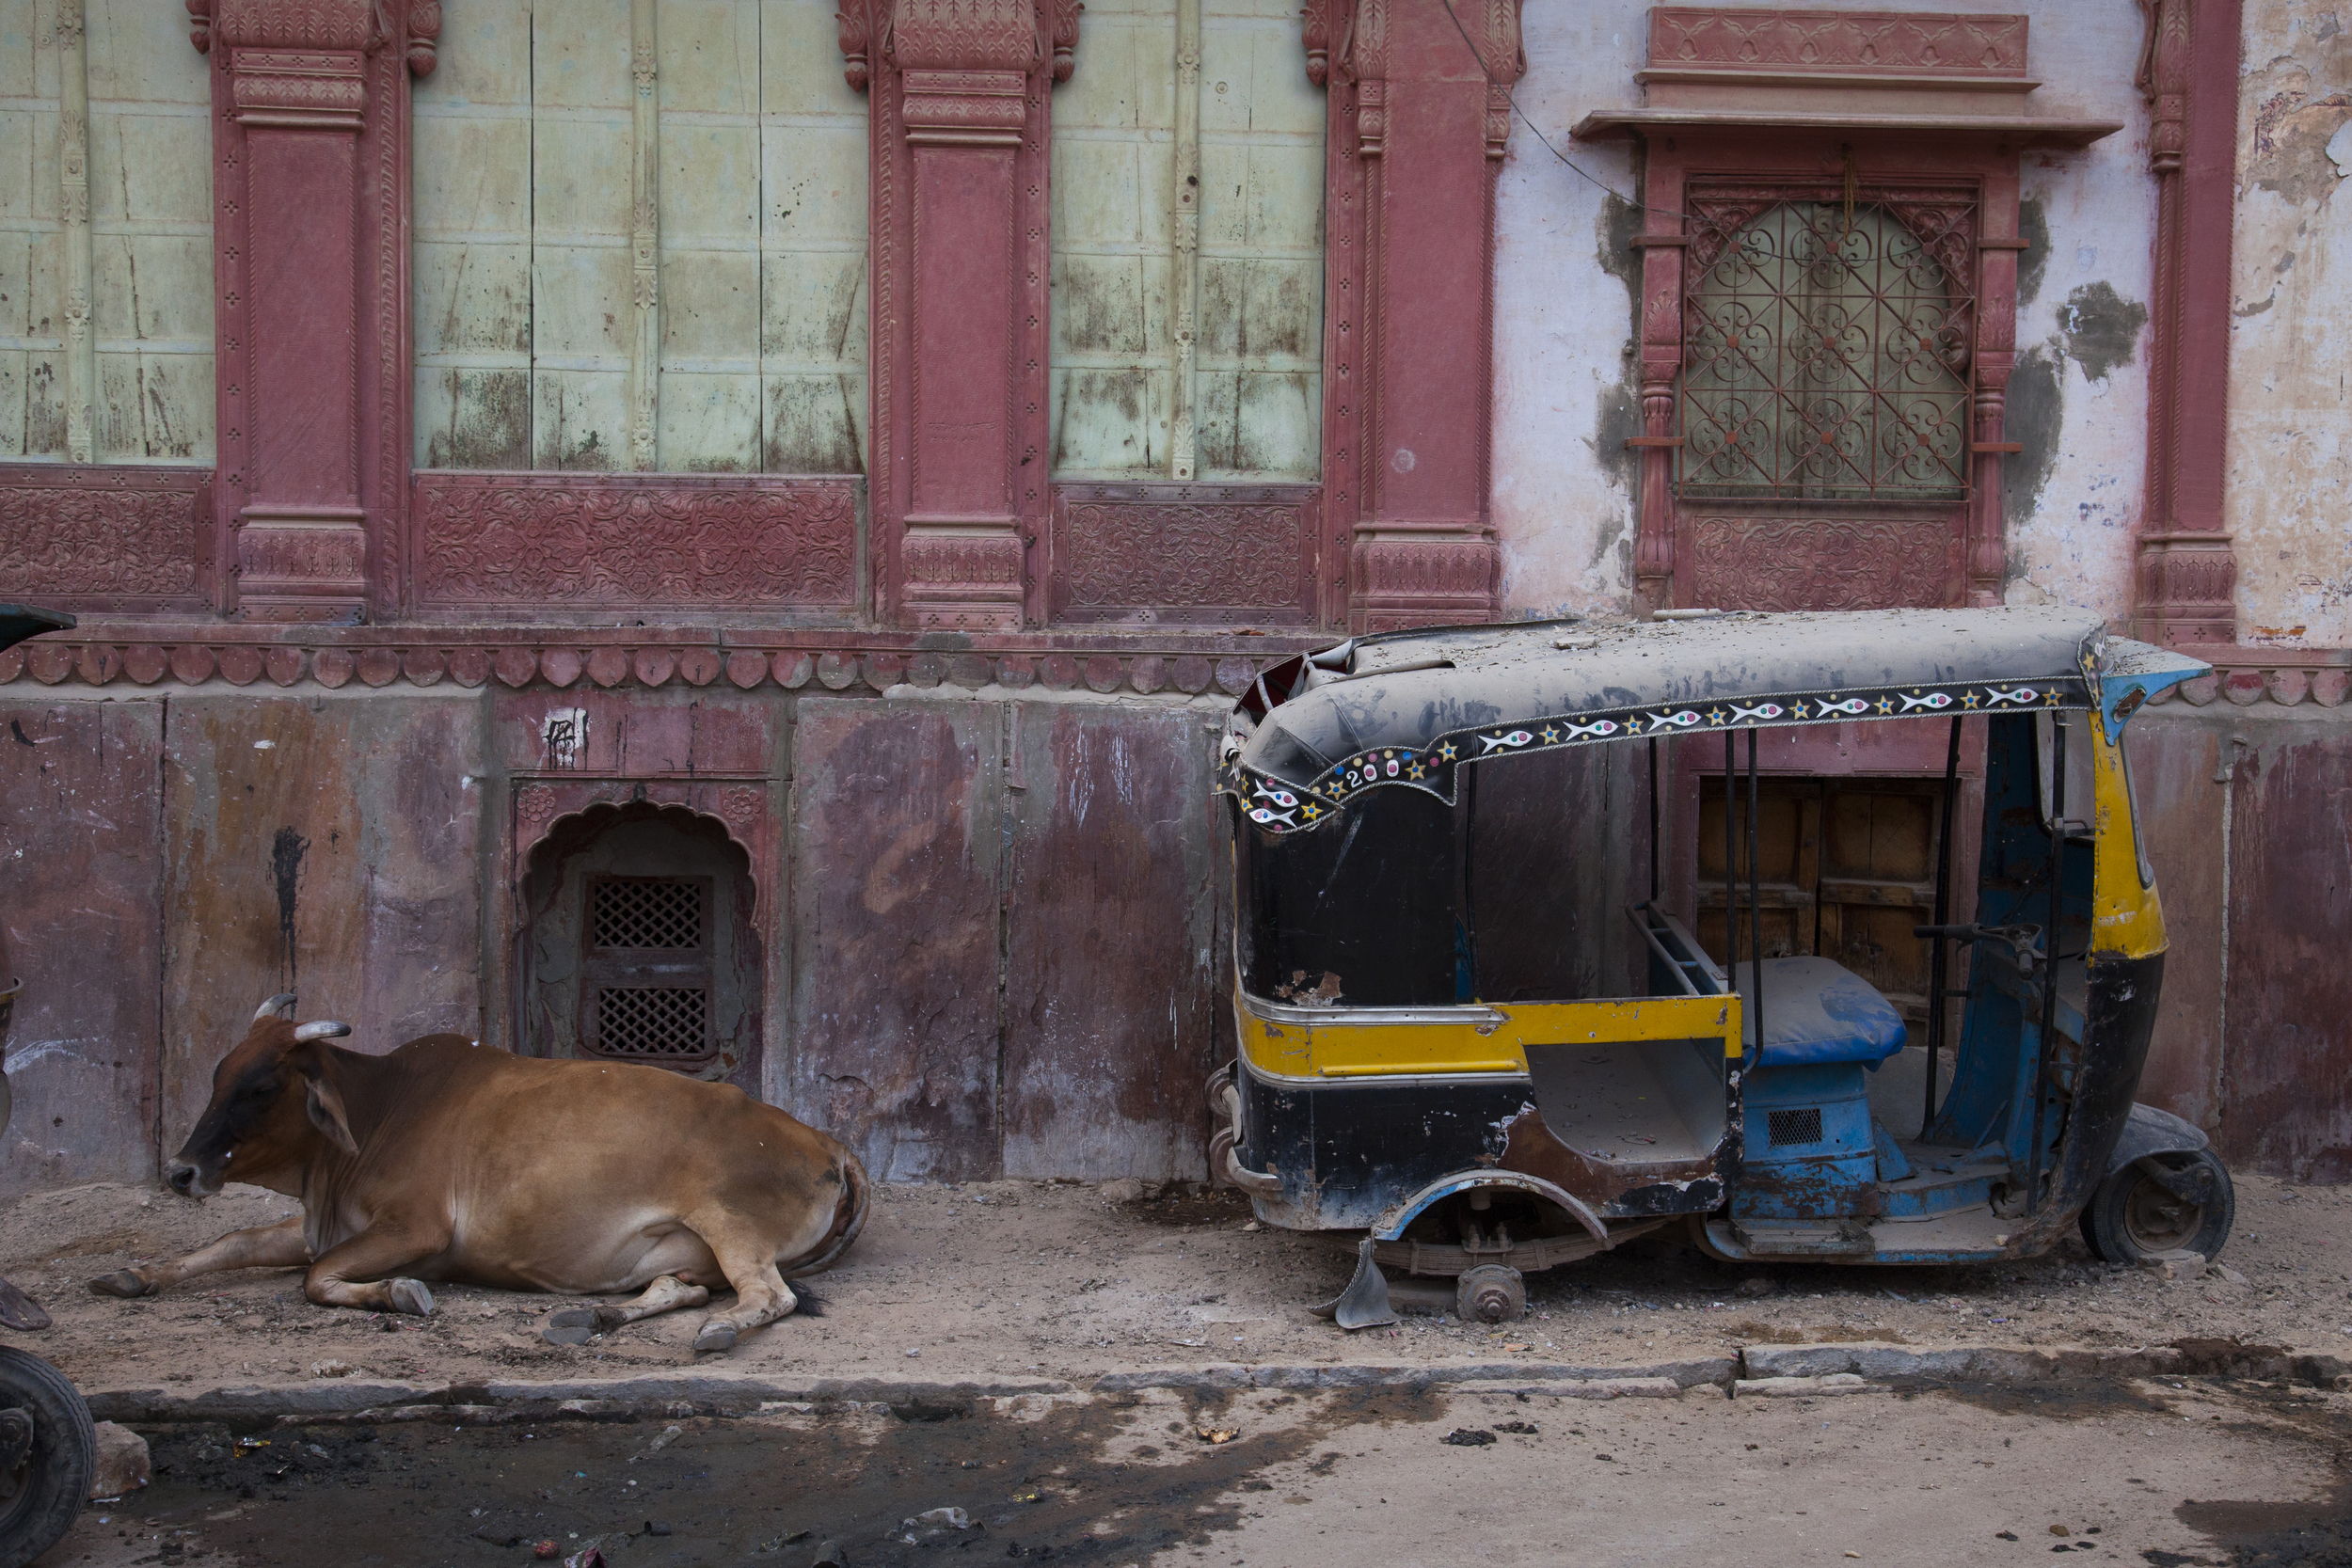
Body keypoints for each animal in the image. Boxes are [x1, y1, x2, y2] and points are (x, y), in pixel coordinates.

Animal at [89, 991, 875, 1354]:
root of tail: (826, 1139)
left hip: (731, 1226)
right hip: (688, 1250)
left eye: (260, 1087)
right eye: (218, 1074)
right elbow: (234, 1243)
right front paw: (134, 1274)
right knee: (675, 1287)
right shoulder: (320, 1223)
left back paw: (713, 1331)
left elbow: (315, 1279)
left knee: (767, 1296)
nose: (181, 1170)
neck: (378, 1110)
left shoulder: (418, 1229)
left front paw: (401, 1293)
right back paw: (597, 1313)